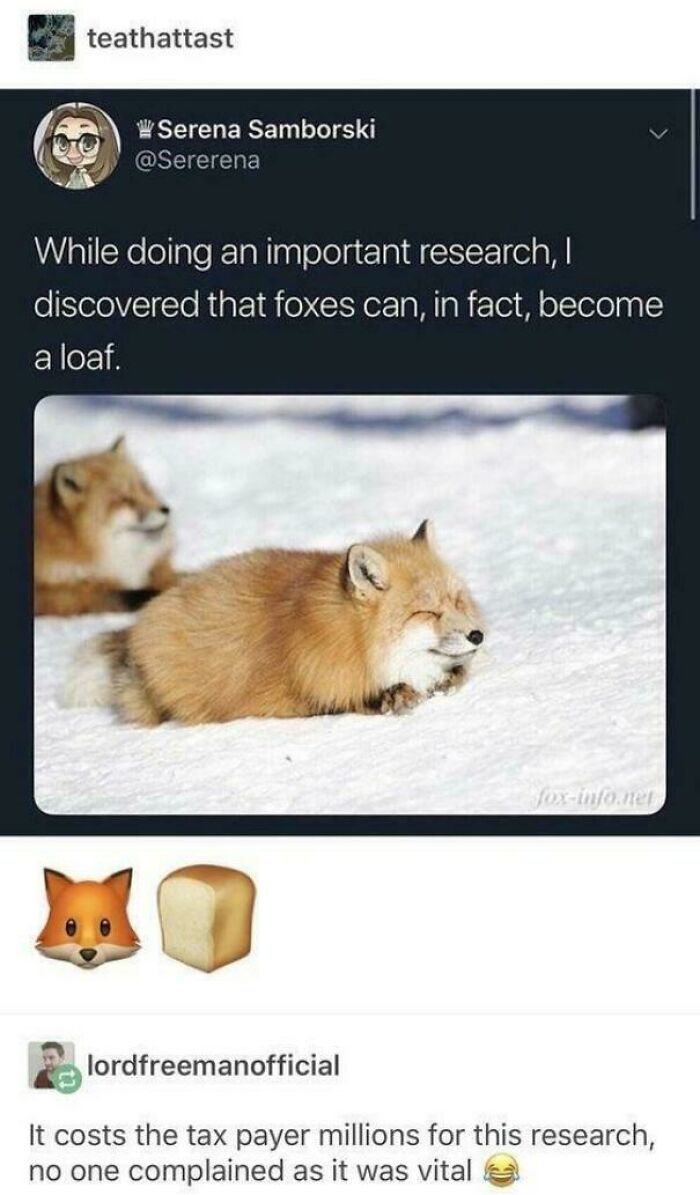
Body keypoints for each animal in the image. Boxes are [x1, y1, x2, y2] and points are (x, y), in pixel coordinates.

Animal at [65, 519, 485, 726]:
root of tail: (140, 623)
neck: (348, 640)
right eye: (427, 612)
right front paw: (396, 696)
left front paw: (449, 678)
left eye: (457, 601)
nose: (477, 635)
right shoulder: (305, 692)